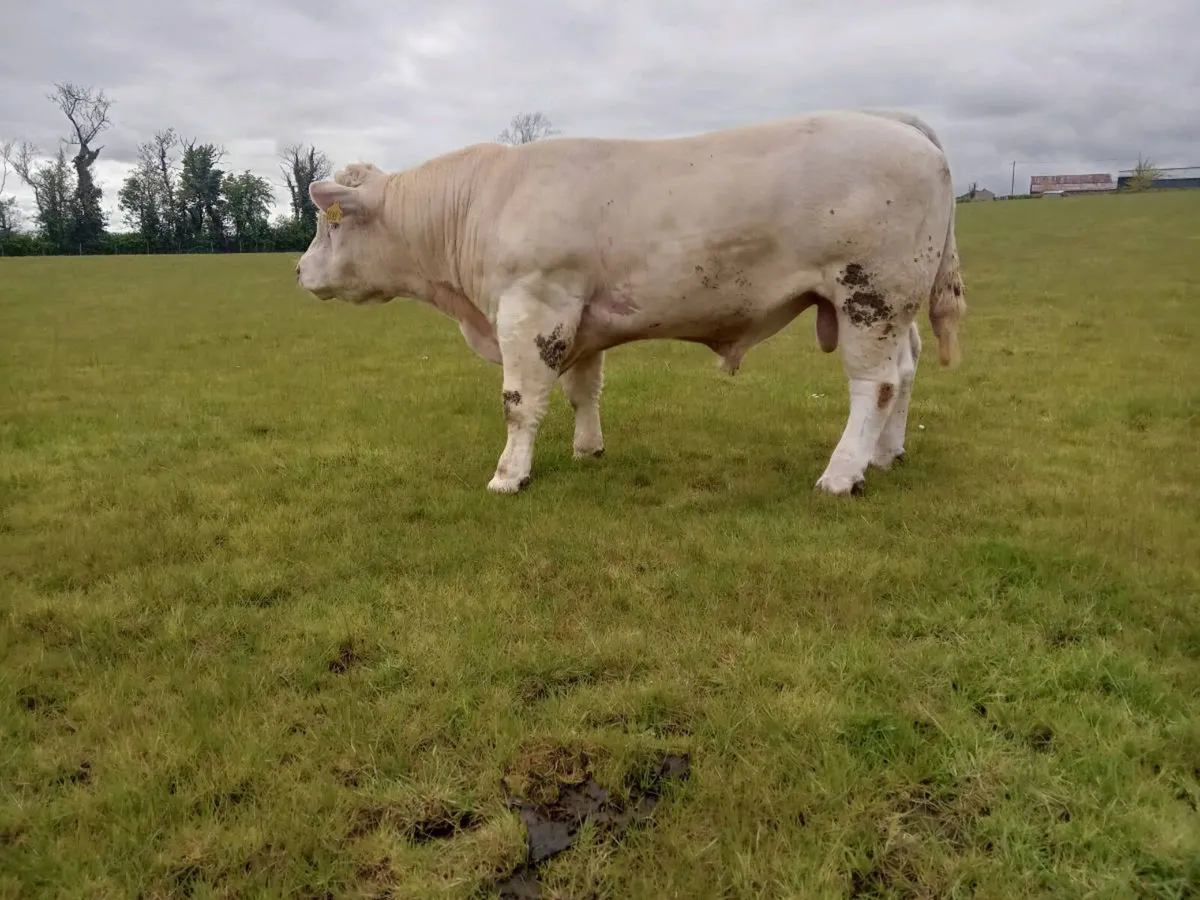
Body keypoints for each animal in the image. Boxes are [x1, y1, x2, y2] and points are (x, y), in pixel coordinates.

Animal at [295, 108, 966, 496]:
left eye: (328, 225)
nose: (299, 270)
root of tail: (898, 122)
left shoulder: (532, 306)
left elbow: (519, 401)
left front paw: (509, 474)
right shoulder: (578, 316)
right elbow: (582, 389)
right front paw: (588, 449)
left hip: (870, 295)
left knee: (875, 384)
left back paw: (842, 474)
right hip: (893, 304)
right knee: (905, 371)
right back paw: (885, 455)